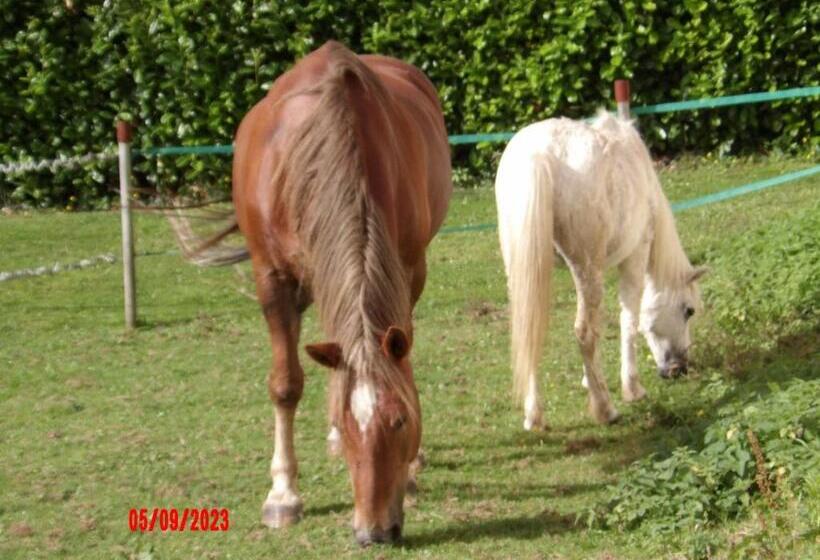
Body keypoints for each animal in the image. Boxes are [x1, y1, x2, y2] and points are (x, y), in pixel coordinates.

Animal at [171, 41, 452, 545]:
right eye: (347, 421)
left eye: (400, 421)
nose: (374, 532)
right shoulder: (273, 278)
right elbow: (286, 384)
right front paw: (283, 494)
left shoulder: (407, 269)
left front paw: (410, 467)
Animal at [494, 112, 706, 430]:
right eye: (688, 310)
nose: (677, 369)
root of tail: (540, 154)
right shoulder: (635, 255)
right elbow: (629, 319)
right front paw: (632, 388)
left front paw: (589, 380)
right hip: (587, 267)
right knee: (584, 332)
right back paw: (606, 410)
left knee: (528, 332)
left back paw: (534, 417)